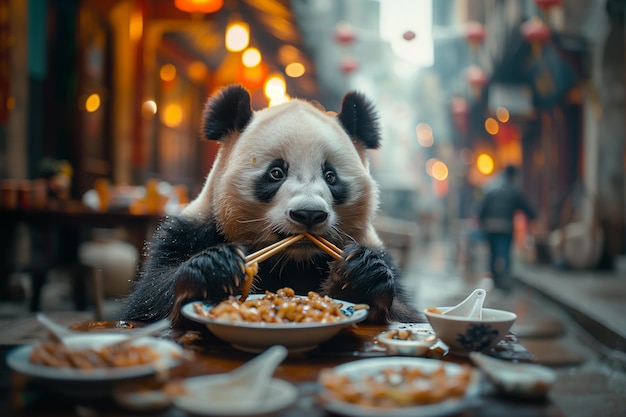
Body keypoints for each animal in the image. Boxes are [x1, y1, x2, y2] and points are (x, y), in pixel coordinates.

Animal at [120, 83, 420, 324]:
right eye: (276, 172)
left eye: (331, 176)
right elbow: (146, 299)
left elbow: (406, 312)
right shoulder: (192, 230)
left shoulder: (374, 246)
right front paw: (216, 269)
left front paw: (360, 277)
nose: (309, 214)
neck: (293, 260)